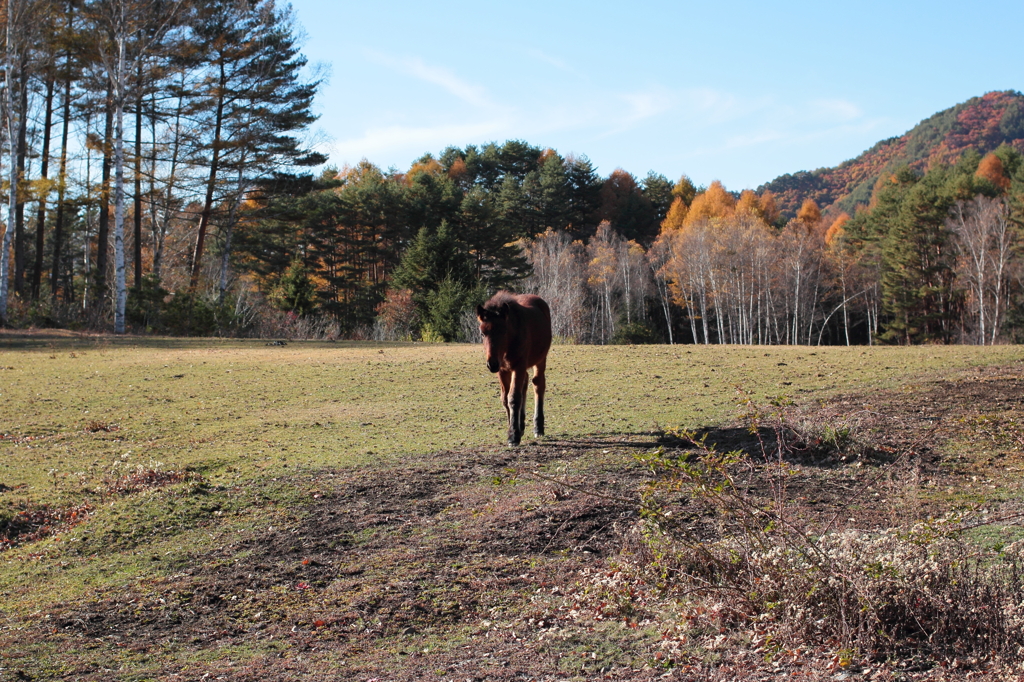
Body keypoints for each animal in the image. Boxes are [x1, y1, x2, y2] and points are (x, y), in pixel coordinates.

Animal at [477, 288, 552, 444]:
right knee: (525, 383)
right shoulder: (503, 370)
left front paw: (513, 435)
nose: (492, 363)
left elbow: (514, 398)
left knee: (538, 385)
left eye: (503, 331)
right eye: (482, 333)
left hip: (540, 359)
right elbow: (505, 399)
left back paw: (538, 428)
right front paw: (514, 428)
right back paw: (521, 425)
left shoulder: (518, 366)